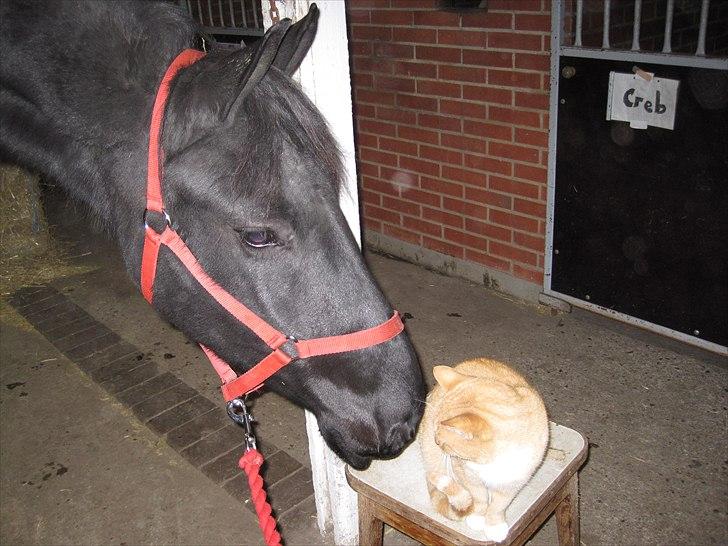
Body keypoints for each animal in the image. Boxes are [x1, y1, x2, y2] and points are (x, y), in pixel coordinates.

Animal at [420, 356, 544, 540]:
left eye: (441, 441)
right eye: (435, 437)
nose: (435, 441)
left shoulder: (515, 481)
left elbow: (499, 505)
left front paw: (494, 526)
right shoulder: (466, 472)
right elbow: (479, 497)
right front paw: (478, 517)